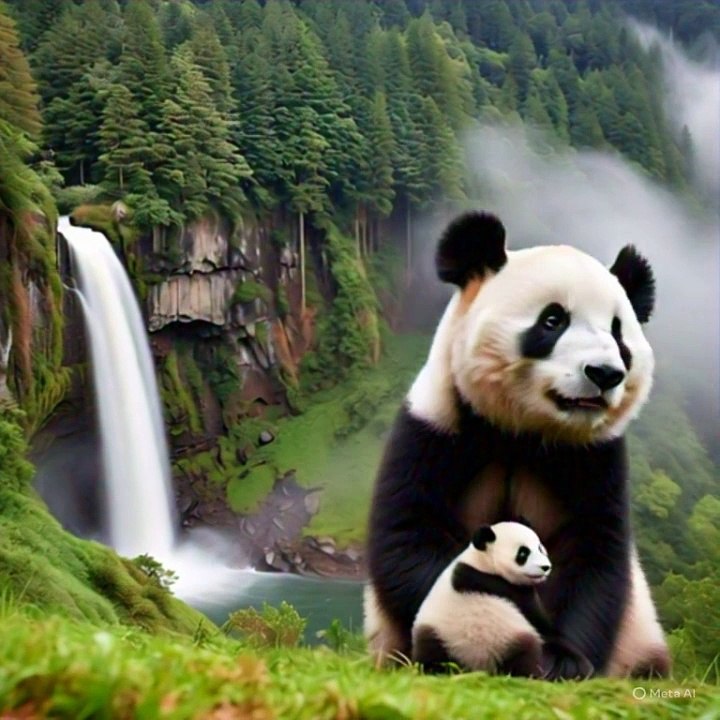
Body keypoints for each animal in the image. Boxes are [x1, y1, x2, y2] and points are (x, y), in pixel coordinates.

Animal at [365, 212, 670, 680]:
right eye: (553, 320)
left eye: (619, 334)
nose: (604, 373)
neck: (522, 429)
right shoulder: (435, 430)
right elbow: (409, 537)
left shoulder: (595, 458)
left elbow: (594, 558)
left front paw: (563, 658)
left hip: (640, 637)